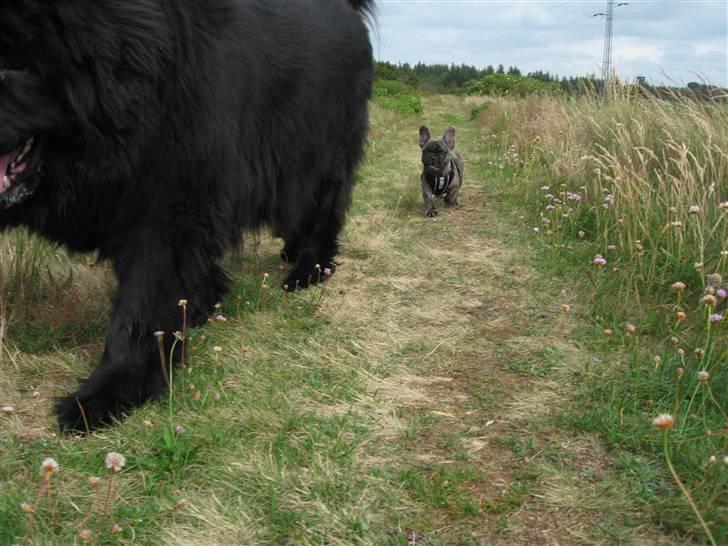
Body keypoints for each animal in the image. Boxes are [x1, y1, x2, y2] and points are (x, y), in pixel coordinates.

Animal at [0, 2, 372, 432]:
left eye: (14, 65)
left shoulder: (170, 202)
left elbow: (141, 302)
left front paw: (107, 392)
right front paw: (201, 304)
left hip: (325, 143)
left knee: (323, 205)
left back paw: (308, 270)